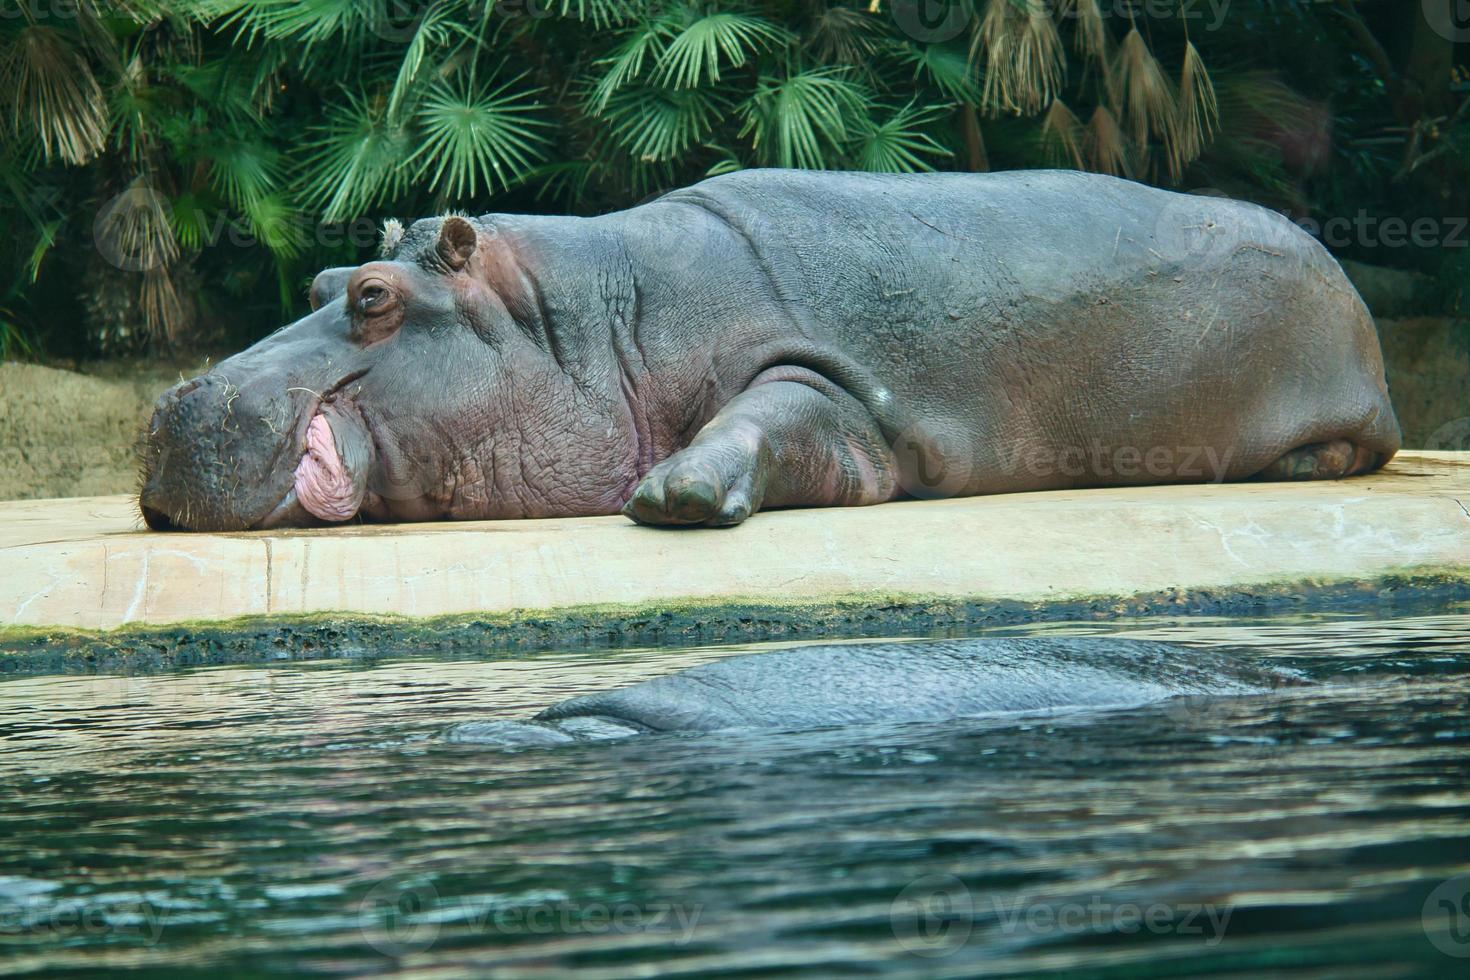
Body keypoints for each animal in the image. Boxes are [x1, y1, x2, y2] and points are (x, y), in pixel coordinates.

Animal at [138, 168, 1399, 528]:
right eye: (315, 283)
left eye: (374, 296)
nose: (165, 406)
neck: (591, 318)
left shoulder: (835, 380)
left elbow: (770, 412)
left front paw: (669, 492)